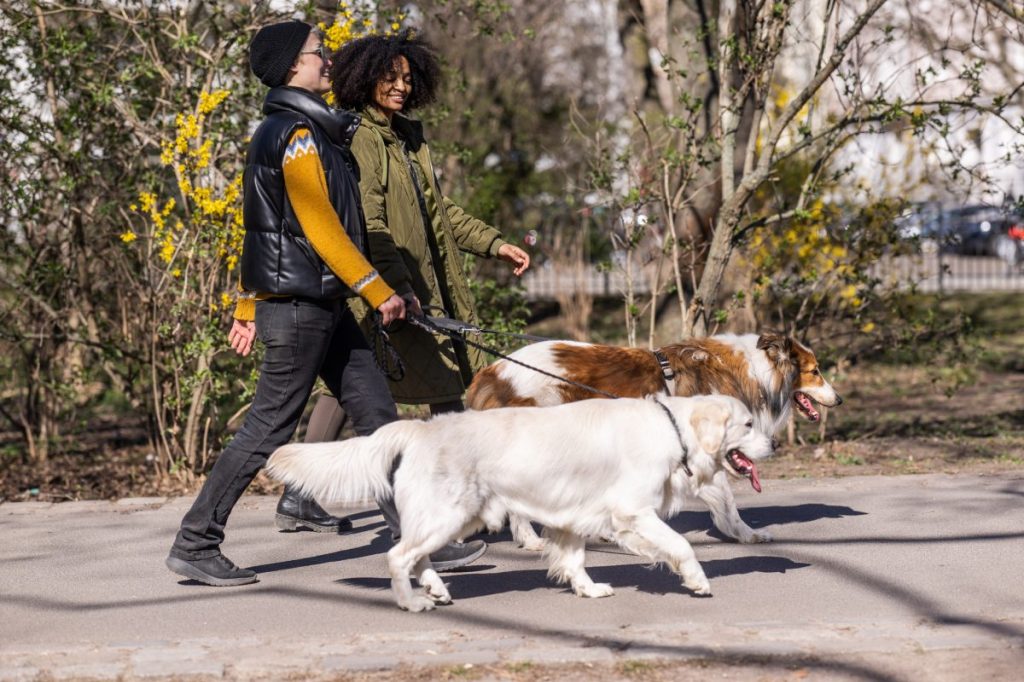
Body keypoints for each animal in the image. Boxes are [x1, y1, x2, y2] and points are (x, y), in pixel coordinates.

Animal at [264, 393, 770, 610]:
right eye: (747, 424)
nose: (776, 444)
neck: (673, 427)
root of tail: (420, 428)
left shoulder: (572, 515)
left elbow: (573, 559)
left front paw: (588, 589)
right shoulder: (631, 511)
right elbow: (680, 546)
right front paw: (698, 581)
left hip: (453, 517)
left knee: (416, 555)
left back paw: (437, 590)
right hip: (448, 513)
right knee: (398, 556)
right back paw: (411, 601)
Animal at [468, 331, 843, 548]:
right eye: (815, 371)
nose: (839, 400)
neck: (754, 370)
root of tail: (488, 373)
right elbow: (727, 502)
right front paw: (745, 534)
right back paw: (532, 540)